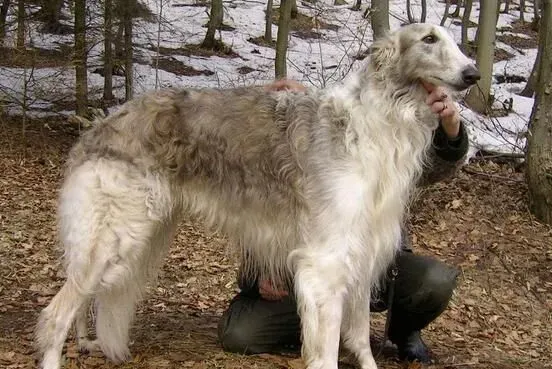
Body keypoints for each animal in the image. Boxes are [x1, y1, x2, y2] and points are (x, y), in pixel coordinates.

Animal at [36, 23, 478, 368]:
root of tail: (98, 127)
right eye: (428, 39)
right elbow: (327, 350)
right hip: (112, 237)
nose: (473, 73)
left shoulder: (363, 252)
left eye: (453, 41)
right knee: (56, 315)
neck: (375, 122)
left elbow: (359, 339)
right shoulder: (325, 262)